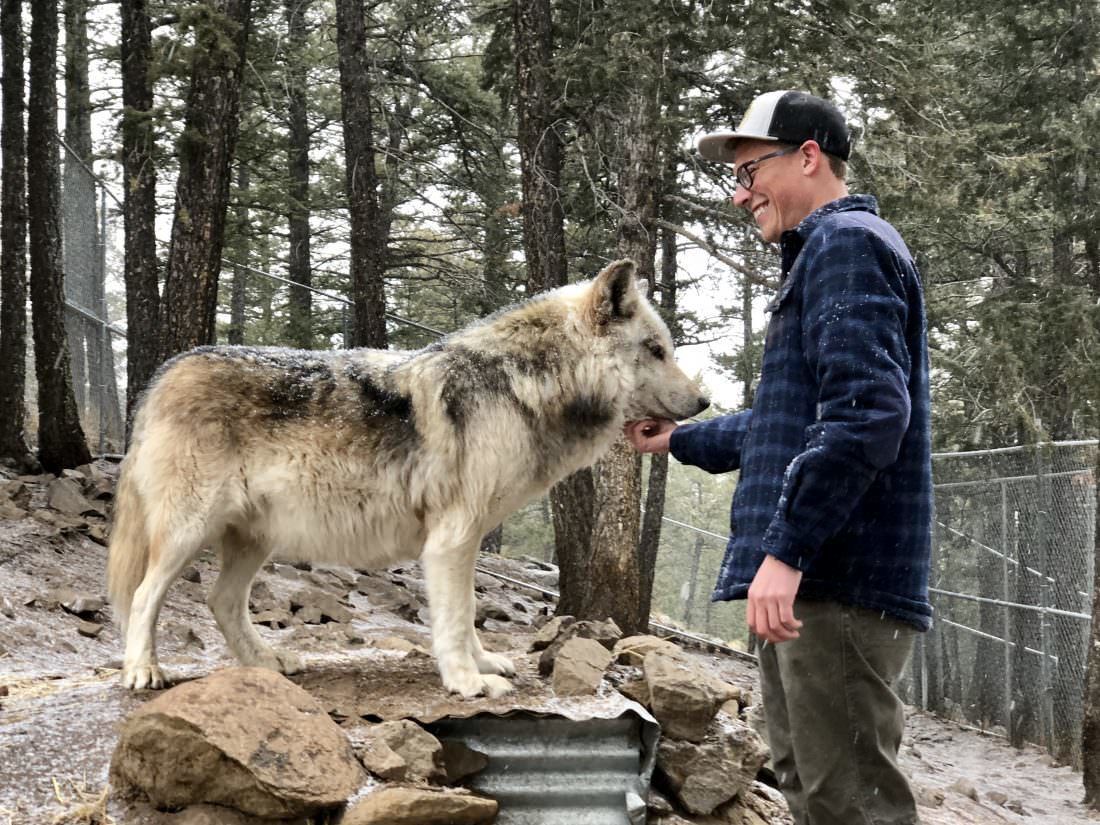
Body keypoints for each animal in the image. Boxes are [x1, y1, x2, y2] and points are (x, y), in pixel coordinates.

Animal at [107, 259, 708, 698]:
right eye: (656, 350)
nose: (705, 403)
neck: (522, 386)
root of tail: (165, 372)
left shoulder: (467, 540)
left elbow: (468, 616)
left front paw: (483, 664)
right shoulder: (451, 538)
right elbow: (456, 617)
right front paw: (467, 682)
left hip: (255, 539)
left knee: (221, 603)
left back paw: (267, 662)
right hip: (189, 531)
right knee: (144, 595)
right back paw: (143, 671)